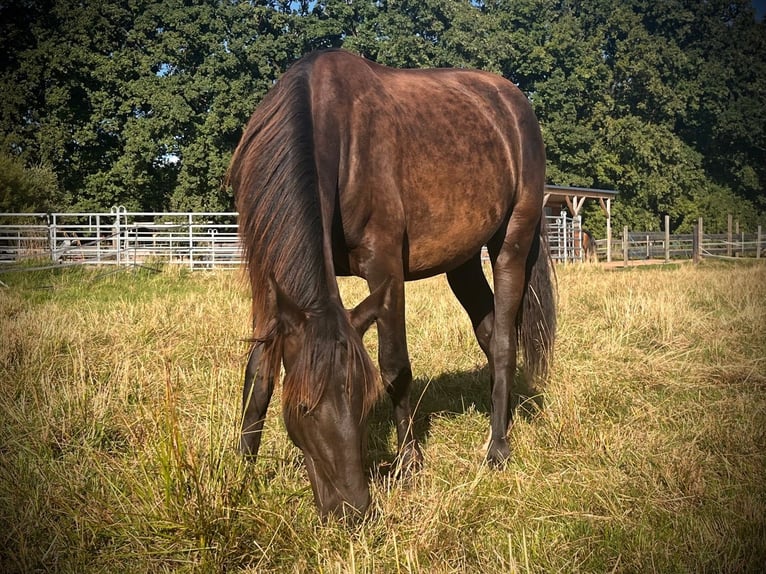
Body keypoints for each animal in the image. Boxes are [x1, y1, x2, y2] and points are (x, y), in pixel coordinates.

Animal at [228, 49, 556, 519]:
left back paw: (497, 448)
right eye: (304, 406)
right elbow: (259, 373)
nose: (353, 511)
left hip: (511, 243)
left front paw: (409, 464)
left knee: (505, 342)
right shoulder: (269, 285)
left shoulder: (384, 267)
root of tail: (514, 102)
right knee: (490, 334)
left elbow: (395, 366)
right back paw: (504, 419)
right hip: (461, 263)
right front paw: (240, 473)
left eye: (365, 405)